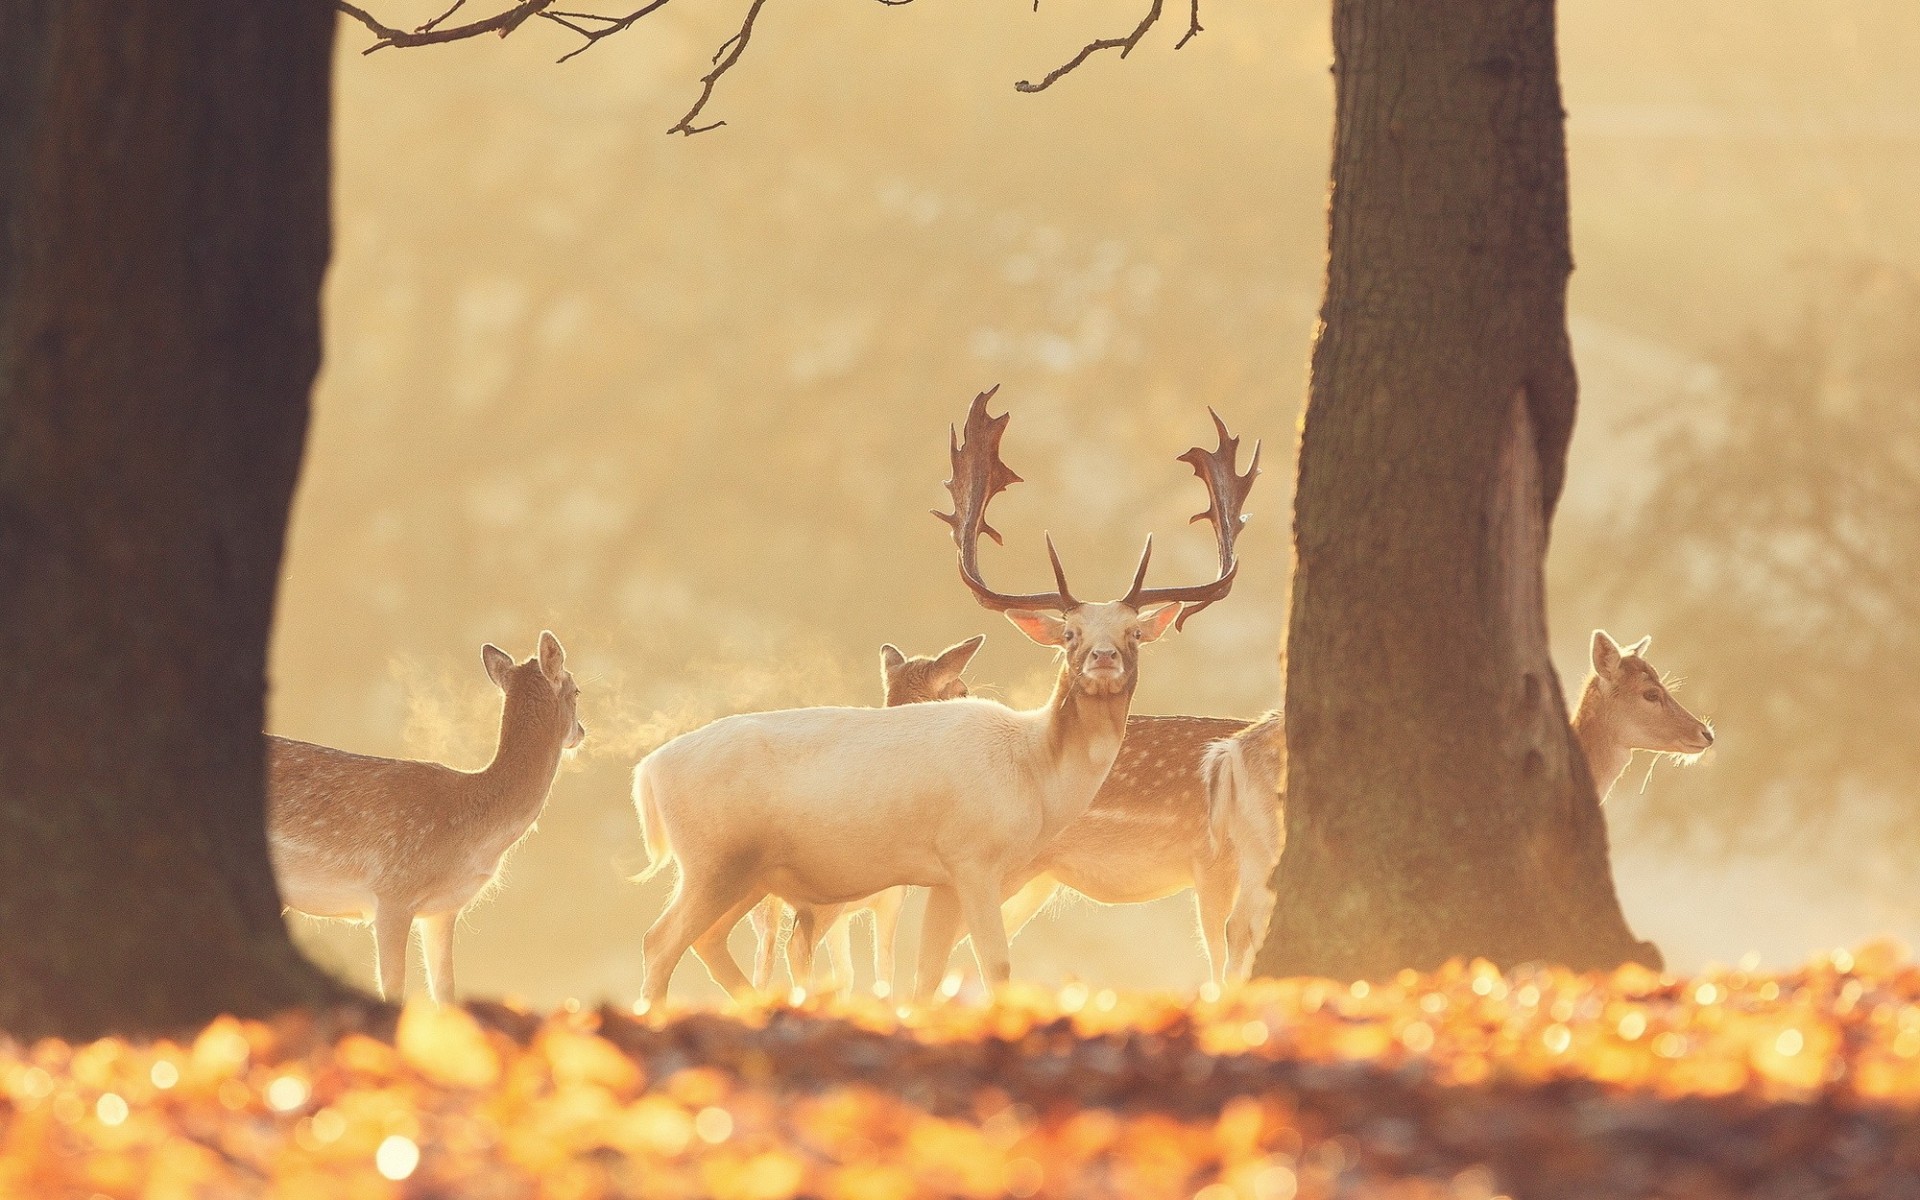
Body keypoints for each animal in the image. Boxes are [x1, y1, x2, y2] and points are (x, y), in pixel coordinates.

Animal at [267, 631, 585, 1004]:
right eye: (576, 690)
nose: (582, 731)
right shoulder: (392, 893)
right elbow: (394, 988)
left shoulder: (442, 911)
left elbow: (446, 992)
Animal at [746, 636, 984, 997]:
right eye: (962, 691)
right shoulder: (890, 898)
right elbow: (883, 966)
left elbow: (846, 974)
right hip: (823, 892)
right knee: (795, 949)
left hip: (760, 902)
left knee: (763, 957)